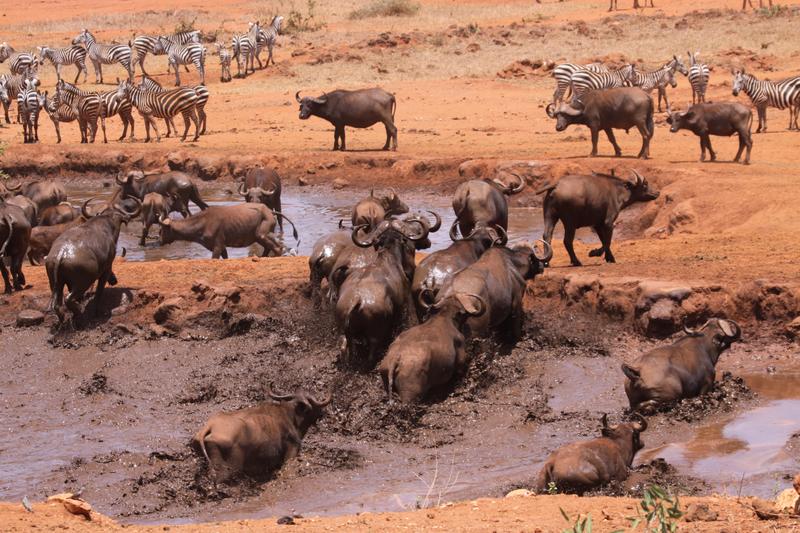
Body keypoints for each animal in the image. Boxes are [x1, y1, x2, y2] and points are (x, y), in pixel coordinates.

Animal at [158, 204, 298, 259]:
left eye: (161, 230)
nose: (159, 241)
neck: (203, 222)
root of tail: (270, 212)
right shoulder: (223, 247)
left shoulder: (217, 246)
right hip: (259, 237)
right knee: (269, 248)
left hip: (262, 235)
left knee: (278, 248)